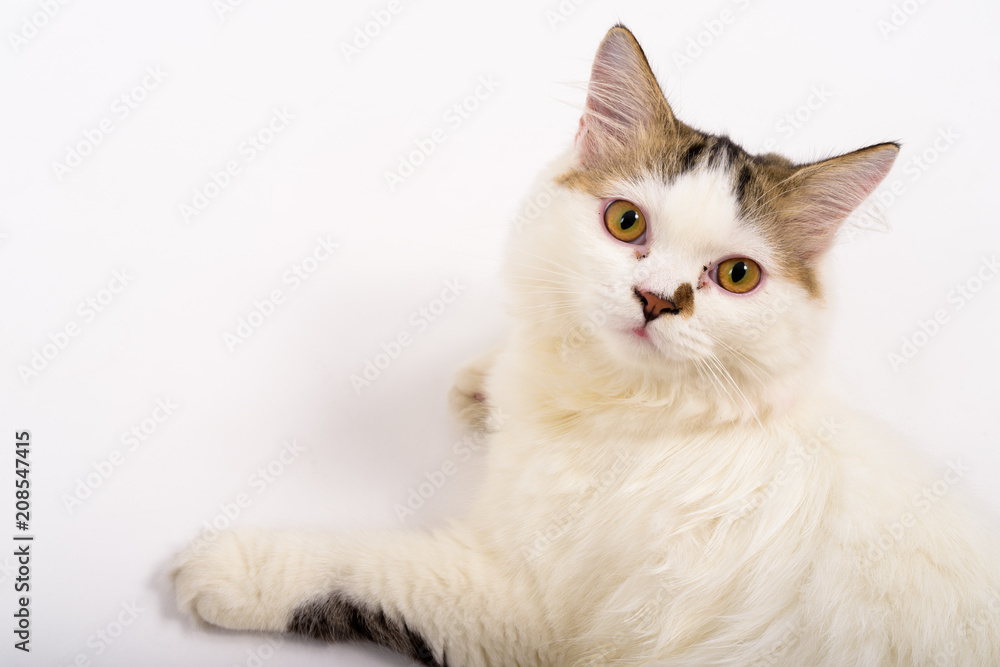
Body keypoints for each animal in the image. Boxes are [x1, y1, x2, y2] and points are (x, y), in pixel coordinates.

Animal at [172, 23, 1000, 664]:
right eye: (627, 222)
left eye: (736, 275)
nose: (658, 300)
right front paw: (482, 382)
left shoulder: (516, 606)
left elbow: (360, 566)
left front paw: (226, 568)